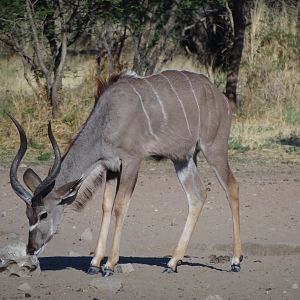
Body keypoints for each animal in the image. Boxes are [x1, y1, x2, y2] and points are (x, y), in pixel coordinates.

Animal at [9, 69, 243, 276]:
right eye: (27, 214)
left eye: (43, 214)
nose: (31, 248)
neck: (108, 117)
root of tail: (221, 99)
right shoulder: (111, 167)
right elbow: (106, 206)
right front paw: (94, 263)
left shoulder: (131, 161)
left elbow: (120, 206)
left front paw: (110, 265)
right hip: (183, 159)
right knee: (197, 196)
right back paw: (172, 262)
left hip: (213, 149)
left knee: (232, 186)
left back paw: (235, 261)